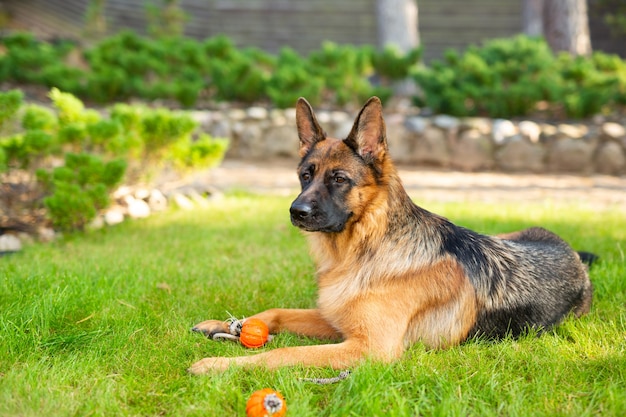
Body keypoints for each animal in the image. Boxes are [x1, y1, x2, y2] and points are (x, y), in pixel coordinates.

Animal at [188, 97, 592, 374]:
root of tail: (575, 256)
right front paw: (225, 326)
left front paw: (219, 366)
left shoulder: (368, 347)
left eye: (339, 179)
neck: (362, 250)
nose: (296, 212)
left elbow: (283, 353)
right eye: (305, 175)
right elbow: (277, 312)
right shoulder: (336, 321)